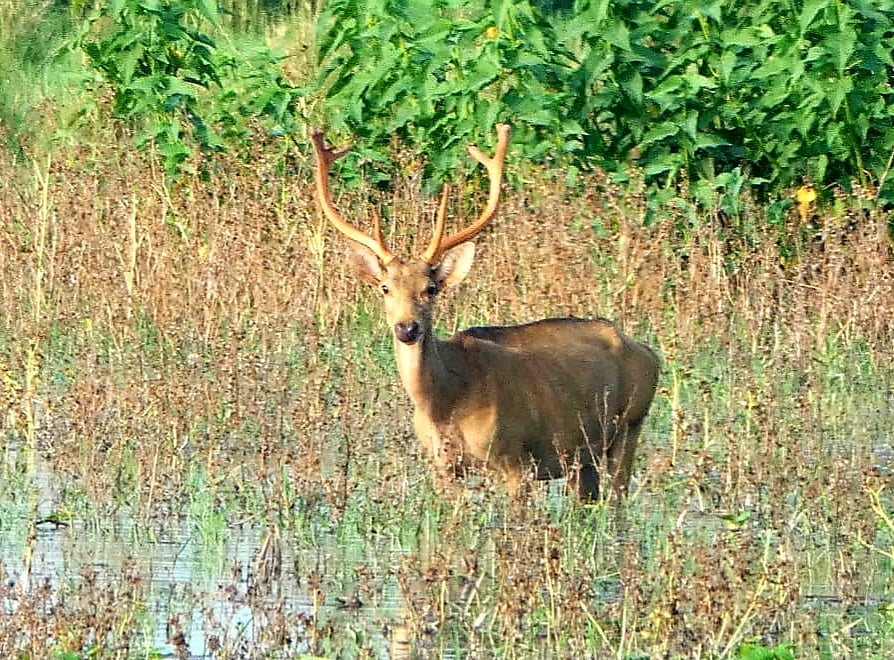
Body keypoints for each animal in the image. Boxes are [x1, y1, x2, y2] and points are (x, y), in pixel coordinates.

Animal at [310, 123, 660, 500]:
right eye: (385, 288)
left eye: (430, 288)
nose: (407, 328)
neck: (446, 401)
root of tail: (650, 354)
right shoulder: (443, 466)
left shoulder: (516, 457)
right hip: (583, 458)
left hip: (629, 427)